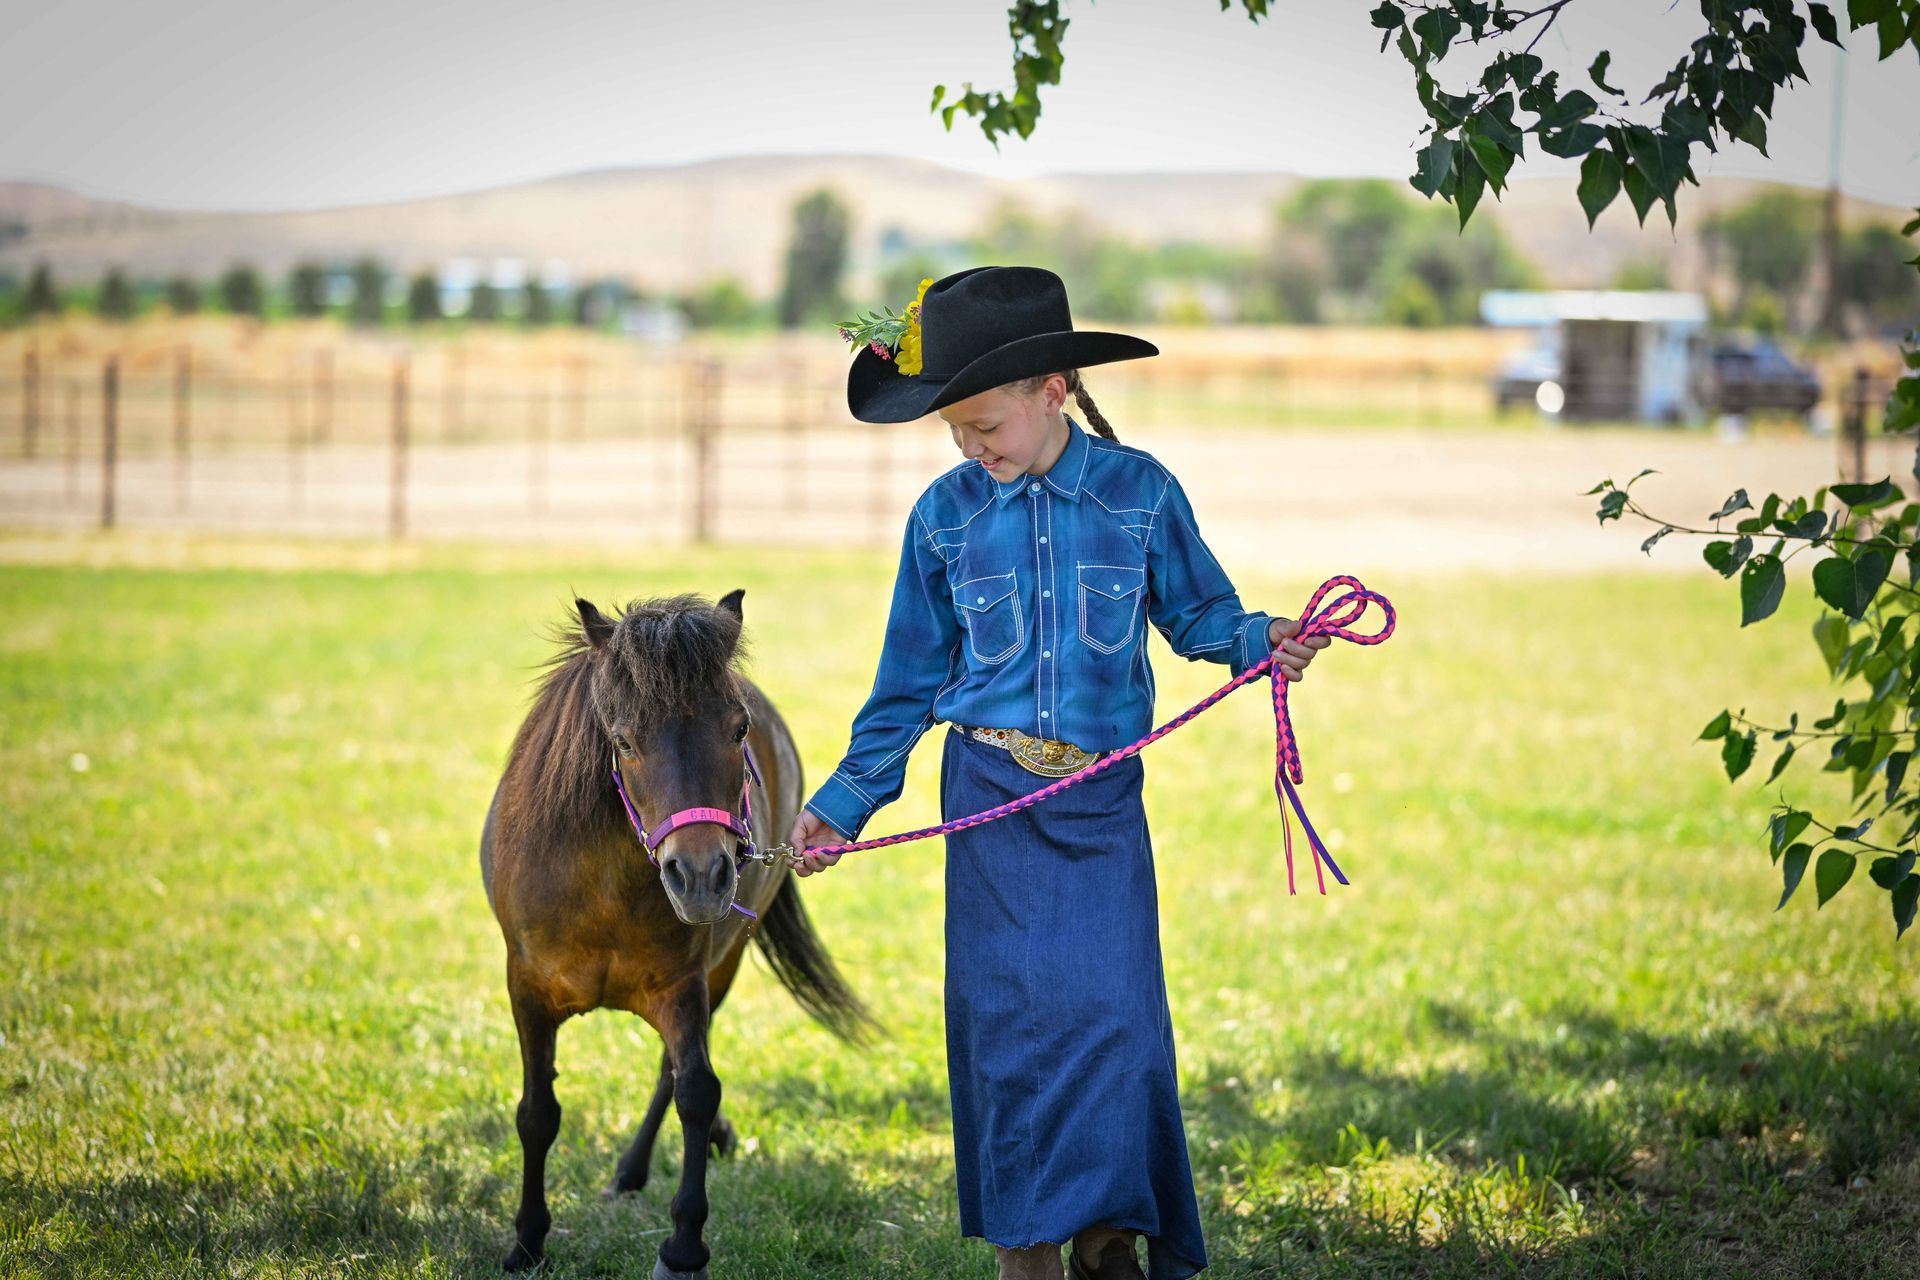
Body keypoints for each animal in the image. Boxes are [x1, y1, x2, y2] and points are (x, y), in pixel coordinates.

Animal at [479, 588, 877, 1278]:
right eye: (623, 741)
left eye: (738, 730)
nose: (701, 877)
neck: (602, 886)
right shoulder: (525, 987)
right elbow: (537, 1113)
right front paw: (527, 1241)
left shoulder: (685, 984)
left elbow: (694, 1089)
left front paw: (684, 1246)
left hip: (725, 965)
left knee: (673, 1071)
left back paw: (639, 1168)